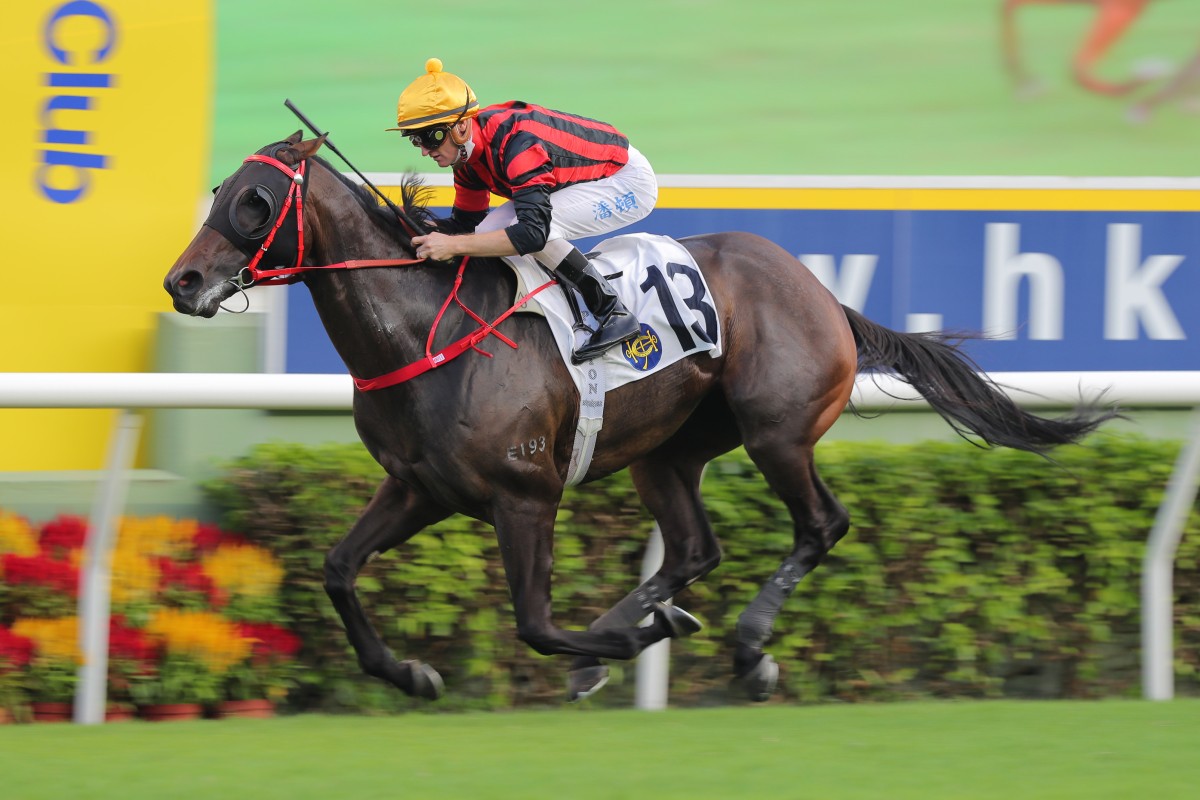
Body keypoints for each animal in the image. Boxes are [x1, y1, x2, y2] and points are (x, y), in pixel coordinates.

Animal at [162, 134, 1113, 705]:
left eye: (254, 201)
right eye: (220, 189)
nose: (182, 281)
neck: (428, 333)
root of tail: (823, 294)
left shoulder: (525, 494)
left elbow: (536, 623)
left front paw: (622, 641)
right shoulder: (419, 488)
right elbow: (335, 569)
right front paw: (412, 672)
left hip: (777, 430)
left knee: (821, 524)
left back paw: (748, 648)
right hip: (666, 452)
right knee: (693, 548)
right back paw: (648, 628)